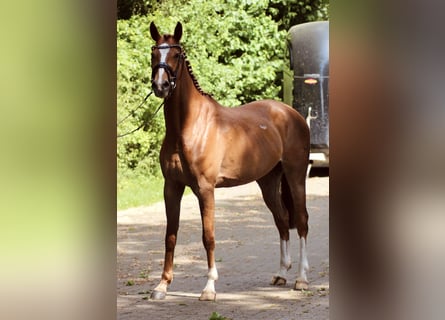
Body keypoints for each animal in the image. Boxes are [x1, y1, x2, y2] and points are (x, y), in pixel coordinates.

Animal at [149, 21, 308, 300]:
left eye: (177, 54)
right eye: (154, 53)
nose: (161, 86)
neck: (189, 127)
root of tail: (292, 114)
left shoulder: (205, 189)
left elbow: (208, 236)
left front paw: (209, 287)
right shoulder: (171, 187)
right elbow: (170, 235)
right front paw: (162, 285)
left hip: (296, 176)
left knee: (300, 221)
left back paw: (301, 278)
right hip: (268, 181)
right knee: (281, 220)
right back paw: (281, 273)